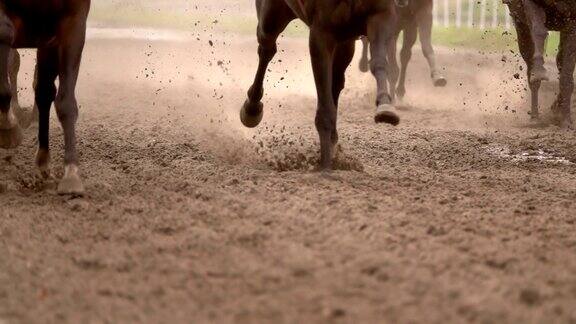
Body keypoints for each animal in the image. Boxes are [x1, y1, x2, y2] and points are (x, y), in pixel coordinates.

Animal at [0, 0, 90, 195]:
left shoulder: (72, 22)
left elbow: (65, 102)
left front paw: (71, 174)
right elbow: (5, 33)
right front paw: (9, 127)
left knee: (43, 91)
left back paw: (43, 159)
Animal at [238, 0, 400, 171]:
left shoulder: (380, 15)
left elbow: (378, 62)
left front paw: (386, 107)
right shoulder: (321, 32)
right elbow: (324, 105)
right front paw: (325, 166)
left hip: (346, 40)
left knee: (336, 81)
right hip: (272, 16)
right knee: (266, 48)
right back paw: (251, 109)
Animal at [508, 0, 576, 128]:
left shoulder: (572, 21)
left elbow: (566, 75)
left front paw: (566, 120)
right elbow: (539, 30)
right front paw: (539, 72)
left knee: (561, 62)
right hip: (520, 24)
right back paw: (535, 118)